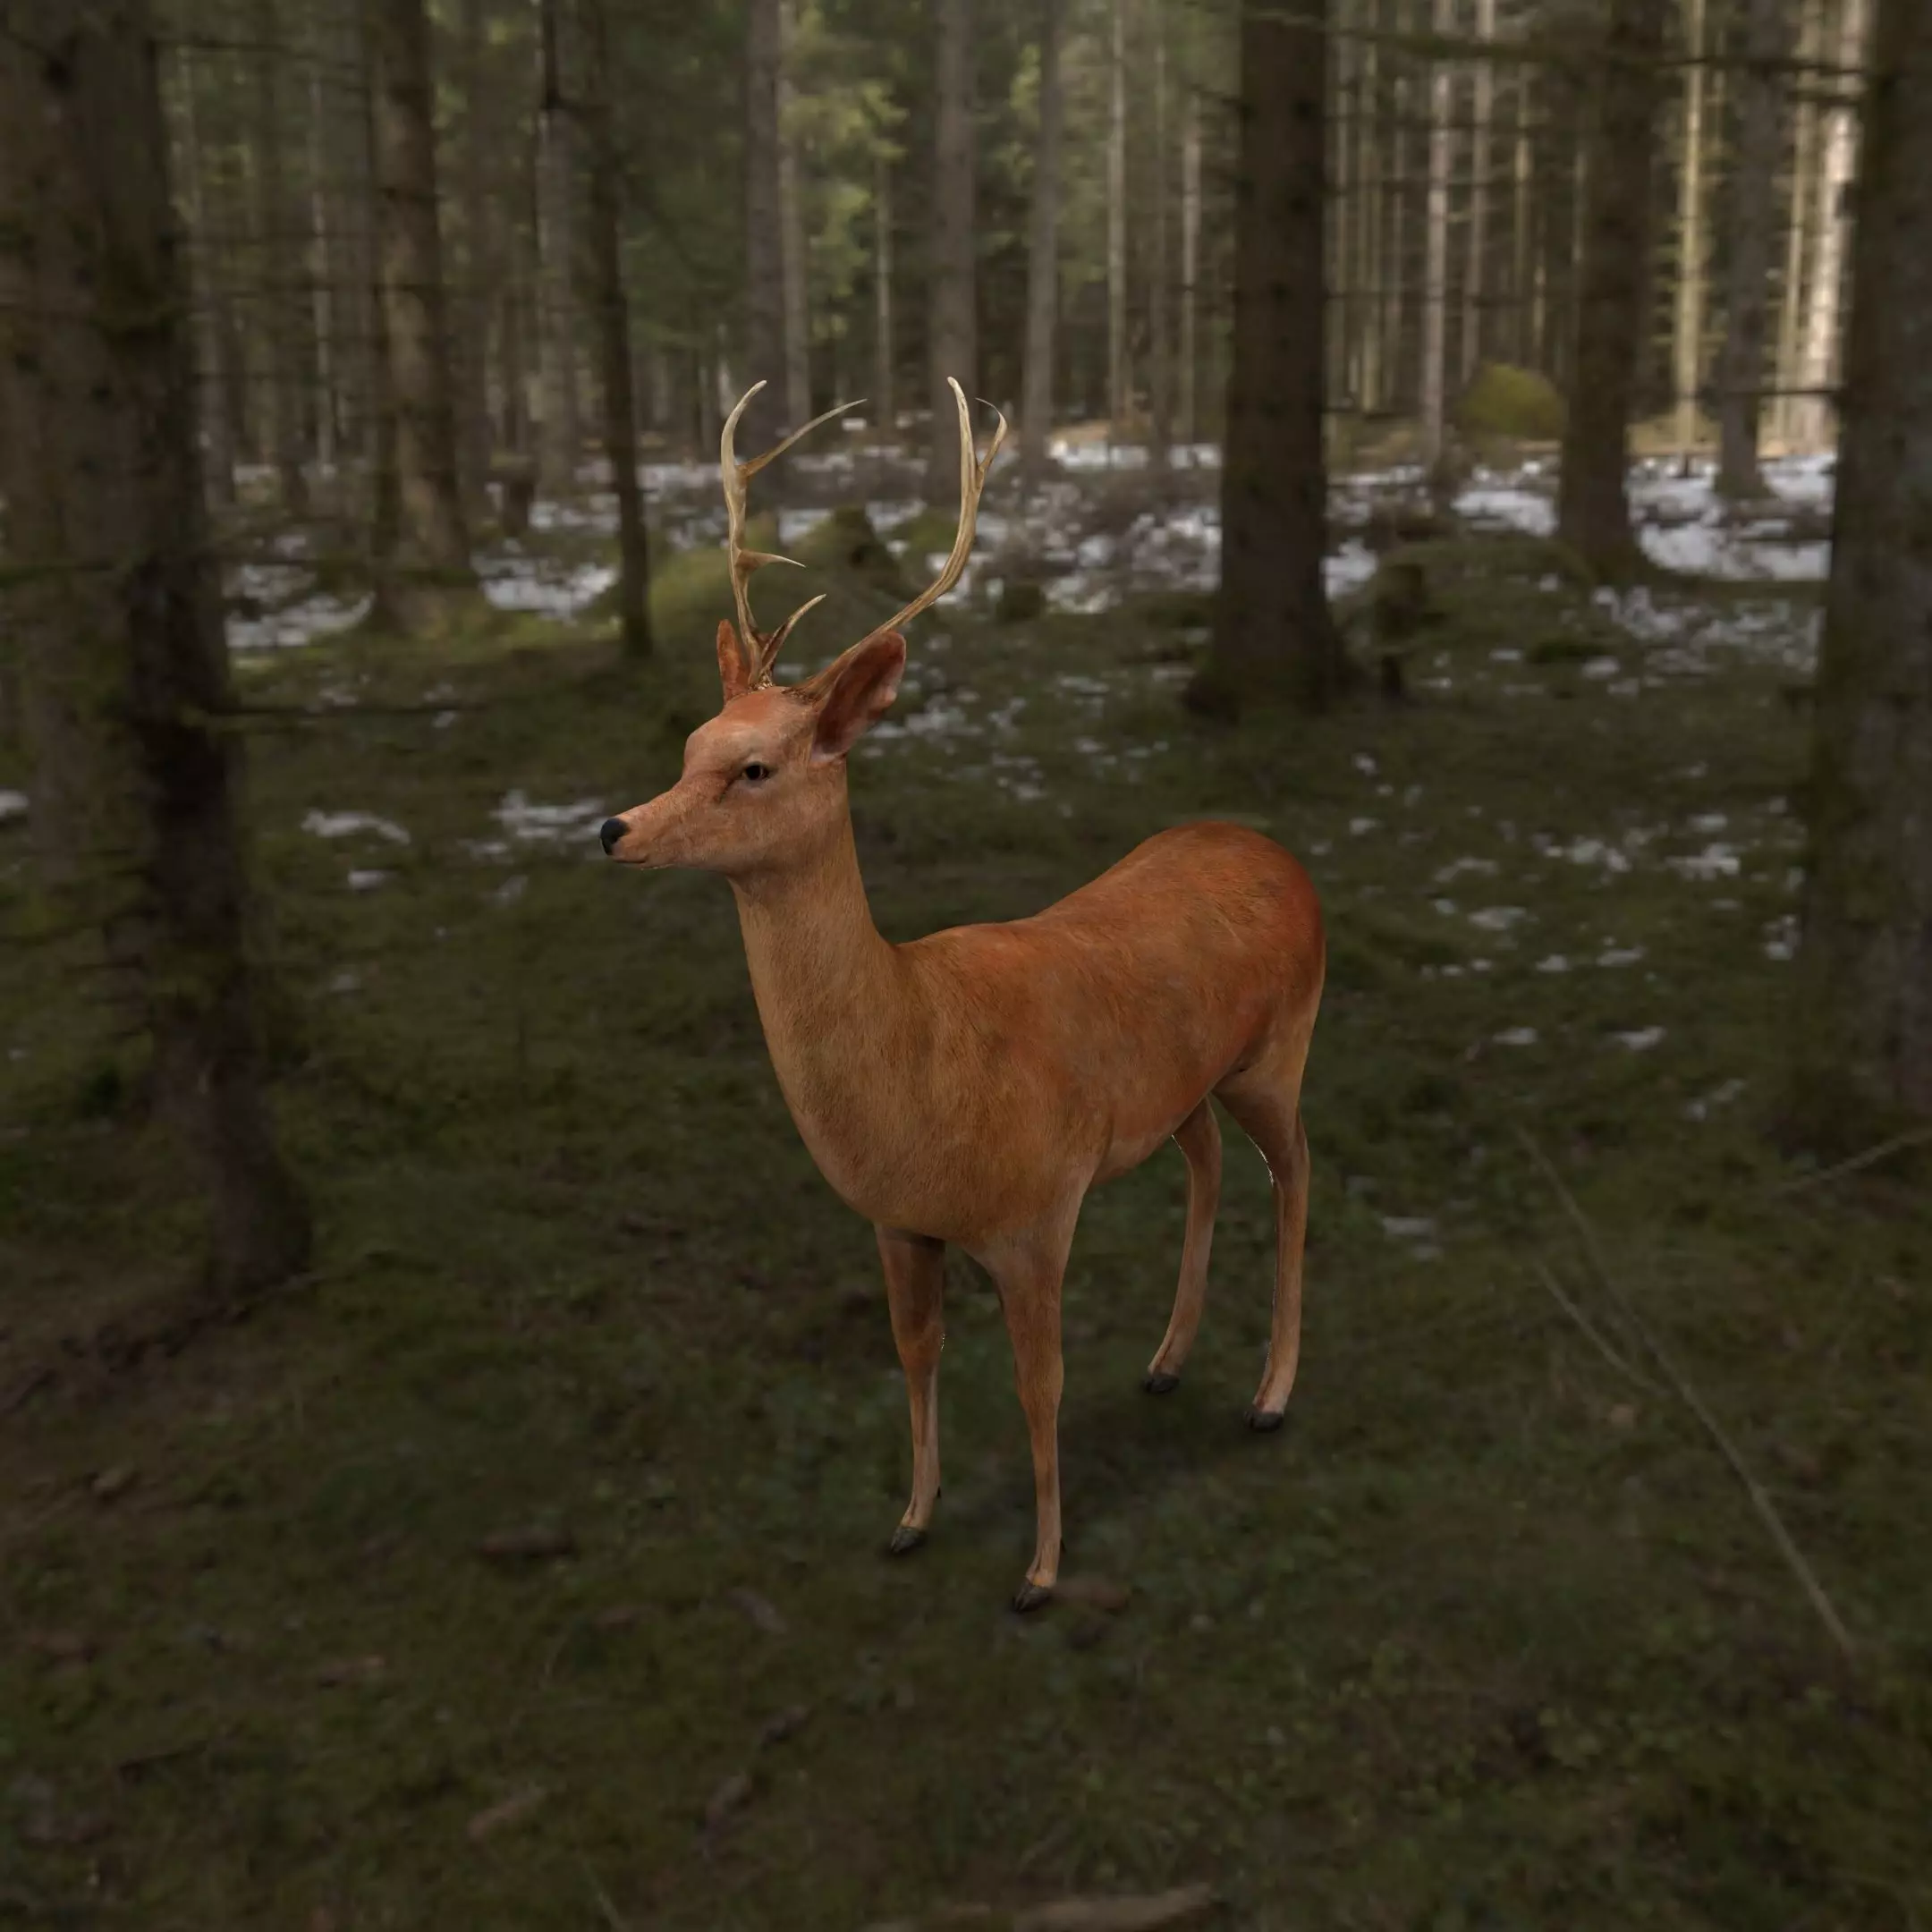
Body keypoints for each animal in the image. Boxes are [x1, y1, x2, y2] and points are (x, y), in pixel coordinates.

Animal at [598, 379, 1326, 1611]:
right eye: (691, 742)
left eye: (755, 768)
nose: (613, 827)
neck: (922, 1060)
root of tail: (1283, 855)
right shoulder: (899, 1221)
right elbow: (917, 1353)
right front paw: (911, 1519)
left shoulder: (1036, 1212)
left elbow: (1041, 1384)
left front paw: (1040, 1571)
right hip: (1183, 1087)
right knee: (1208, 1163)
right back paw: (1168, 1363)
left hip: (1280, 1047)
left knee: (1296, 1174)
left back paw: (1272, 1395)